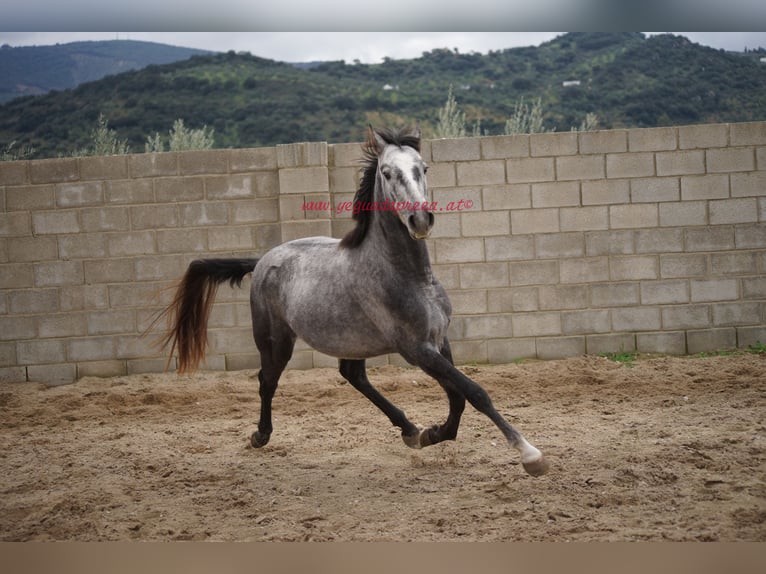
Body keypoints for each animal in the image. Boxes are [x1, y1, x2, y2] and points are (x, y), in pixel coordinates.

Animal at [159, 128, 548, 480]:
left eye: (423, 167)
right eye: (387, 172)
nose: (420, 220)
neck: (409, 276)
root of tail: (264, 258)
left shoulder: (439, 340)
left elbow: (458, 397)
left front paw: (432, 434)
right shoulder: (416, 349)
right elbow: (474, 392)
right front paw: (530, 454)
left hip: (350, 341)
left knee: (352, 375)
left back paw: (408, 429)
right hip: (275, 340)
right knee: (267, 380)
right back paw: (260, 436)